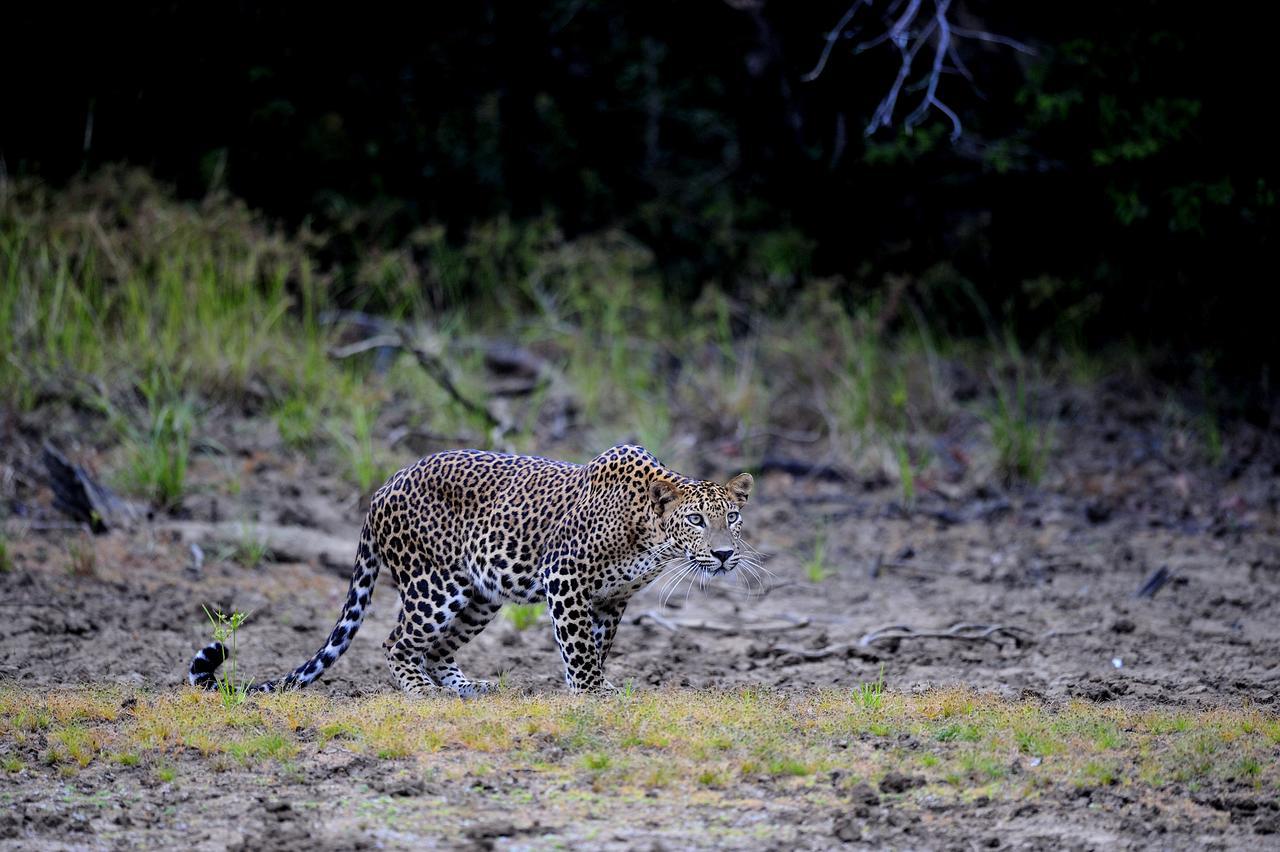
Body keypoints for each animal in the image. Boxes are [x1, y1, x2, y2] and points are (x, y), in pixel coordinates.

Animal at [188, 440, 747, 695]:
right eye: (696, 519)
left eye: (733, 518)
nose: (724, 554)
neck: (650, 536)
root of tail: (383, 488)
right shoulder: (565, 579)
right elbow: (578, 647)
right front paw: (590, 693)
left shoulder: (612, 599)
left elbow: (598, 646)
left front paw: (598, 685)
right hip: (434, 586)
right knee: (396, 643)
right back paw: (421, 693)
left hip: (481, 596)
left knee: (437, 652)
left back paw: (470, 688)